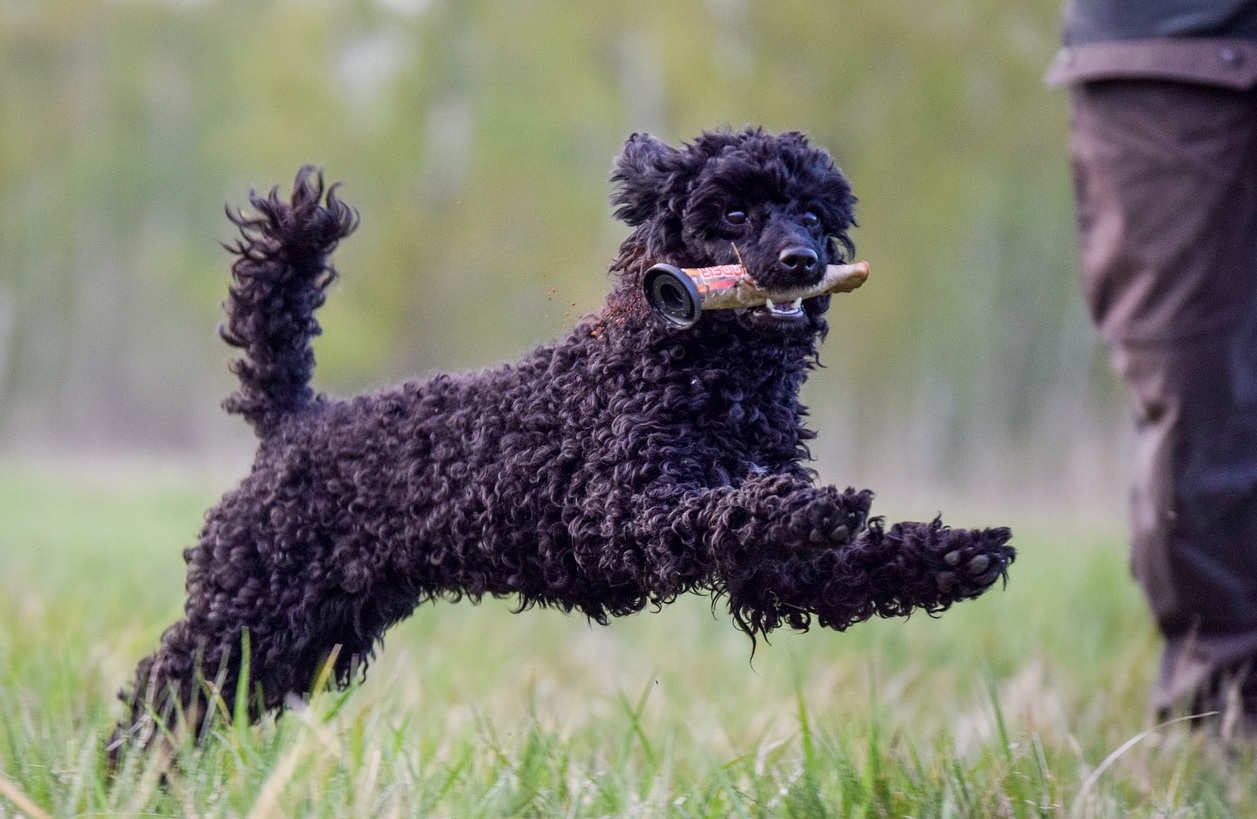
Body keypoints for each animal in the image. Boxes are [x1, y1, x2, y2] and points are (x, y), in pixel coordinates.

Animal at [110, 128, 1013, 754]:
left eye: (815, 214)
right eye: (732, 211)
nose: (799, 259)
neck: (705, 380)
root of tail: (297, 418)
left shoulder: (772, 580)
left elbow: (856, 565)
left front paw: (953, 554)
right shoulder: (617, 513)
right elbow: (727, 509)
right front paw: (808, 506)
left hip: (313, 630)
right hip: (247, 612)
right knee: (157, 706)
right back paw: (126, 783)